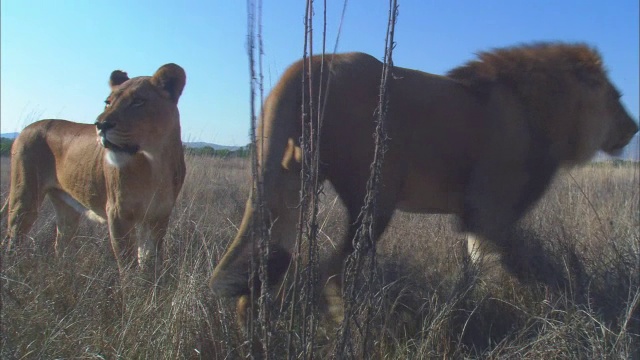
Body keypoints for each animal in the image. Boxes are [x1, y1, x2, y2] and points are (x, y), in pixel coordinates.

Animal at [3, 63, 188, 274]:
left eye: (138, 101)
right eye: (108, 102)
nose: (100, 125)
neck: (155, 163)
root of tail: (25, 129)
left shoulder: (158, 217)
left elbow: (150, 262)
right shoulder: (118, 214)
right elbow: (128, 266)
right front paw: (132, 283)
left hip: (66, 207)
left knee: (60, 245)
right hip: (23, 199)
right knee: (13, 241)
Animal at [209, 43, 636, 320]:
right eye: (617, 96)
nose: (634, 128)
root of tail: (314, 62)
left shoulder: (477, 220)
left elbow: (478, 266)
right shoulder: (489, 212)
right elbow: (529, 264)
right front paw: (567, 303)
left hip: (292, 179)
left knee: (268, 268)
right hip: (374, 197)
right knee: (331, 270)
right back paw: (343, 323)